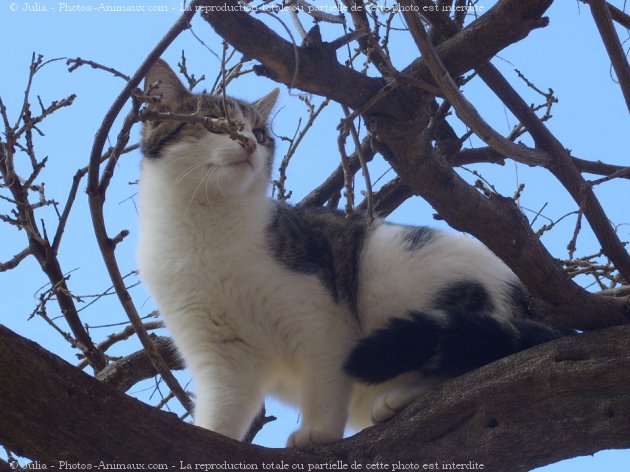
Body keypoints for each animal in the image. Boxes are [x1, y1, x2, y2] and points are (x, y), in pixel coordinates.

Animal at [137, 60, 568, 448]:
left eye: (260, 134)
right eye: (212, 122)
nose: (248, 144)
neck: (206, 226)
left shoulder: (319, 317)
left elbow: (326, 379)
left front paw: (319, 432)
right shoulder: (220, 355)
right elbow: (223, 408)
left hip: (394, 264)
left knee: (469, 358)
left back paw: (400, 397)